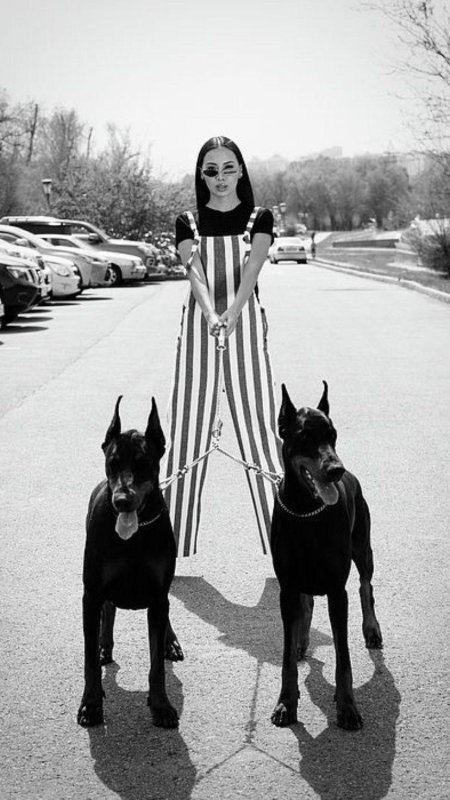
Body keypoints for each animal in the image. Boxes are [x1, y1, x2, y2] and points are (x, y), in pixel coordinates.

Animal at [77, 396, 183, 729]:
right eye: (113, 462)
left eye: (143, 463)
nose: (122, 501)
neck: (134, 535)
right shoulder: (90, 594)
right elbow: (88, 660)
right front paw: (91, 704)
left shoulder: (158, 594)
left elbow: (156, 665)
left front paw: (161, 705)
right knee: (108, 610)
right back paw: (104, 645)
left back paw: (170, 642)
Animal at [270, 382, 383, 730]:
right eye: (305, 436)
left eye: (333, 435)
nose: (336, 470)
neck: (306, 510)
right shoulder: (287, 587)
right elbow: (286, 657)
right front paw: (286, 702)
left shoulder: (336, 590)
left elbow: (343, 658)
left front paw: (347, 706)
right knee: (306, 604)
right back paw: (302, 641)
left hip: (362, 547)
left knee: (365, 586)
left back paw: (372, 630)